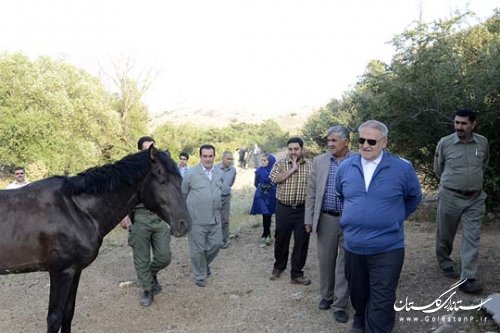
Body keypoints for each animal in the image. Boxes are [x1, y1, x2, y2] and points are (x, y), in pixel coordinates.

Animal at [0, 146, 191, 332]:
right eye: (162, 180)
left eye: (180, 180)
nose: (185, 224)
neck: (76, 210)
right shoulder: (61, 273)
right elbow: (54, 319)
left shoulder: (74, 271)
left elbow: (68, 313)